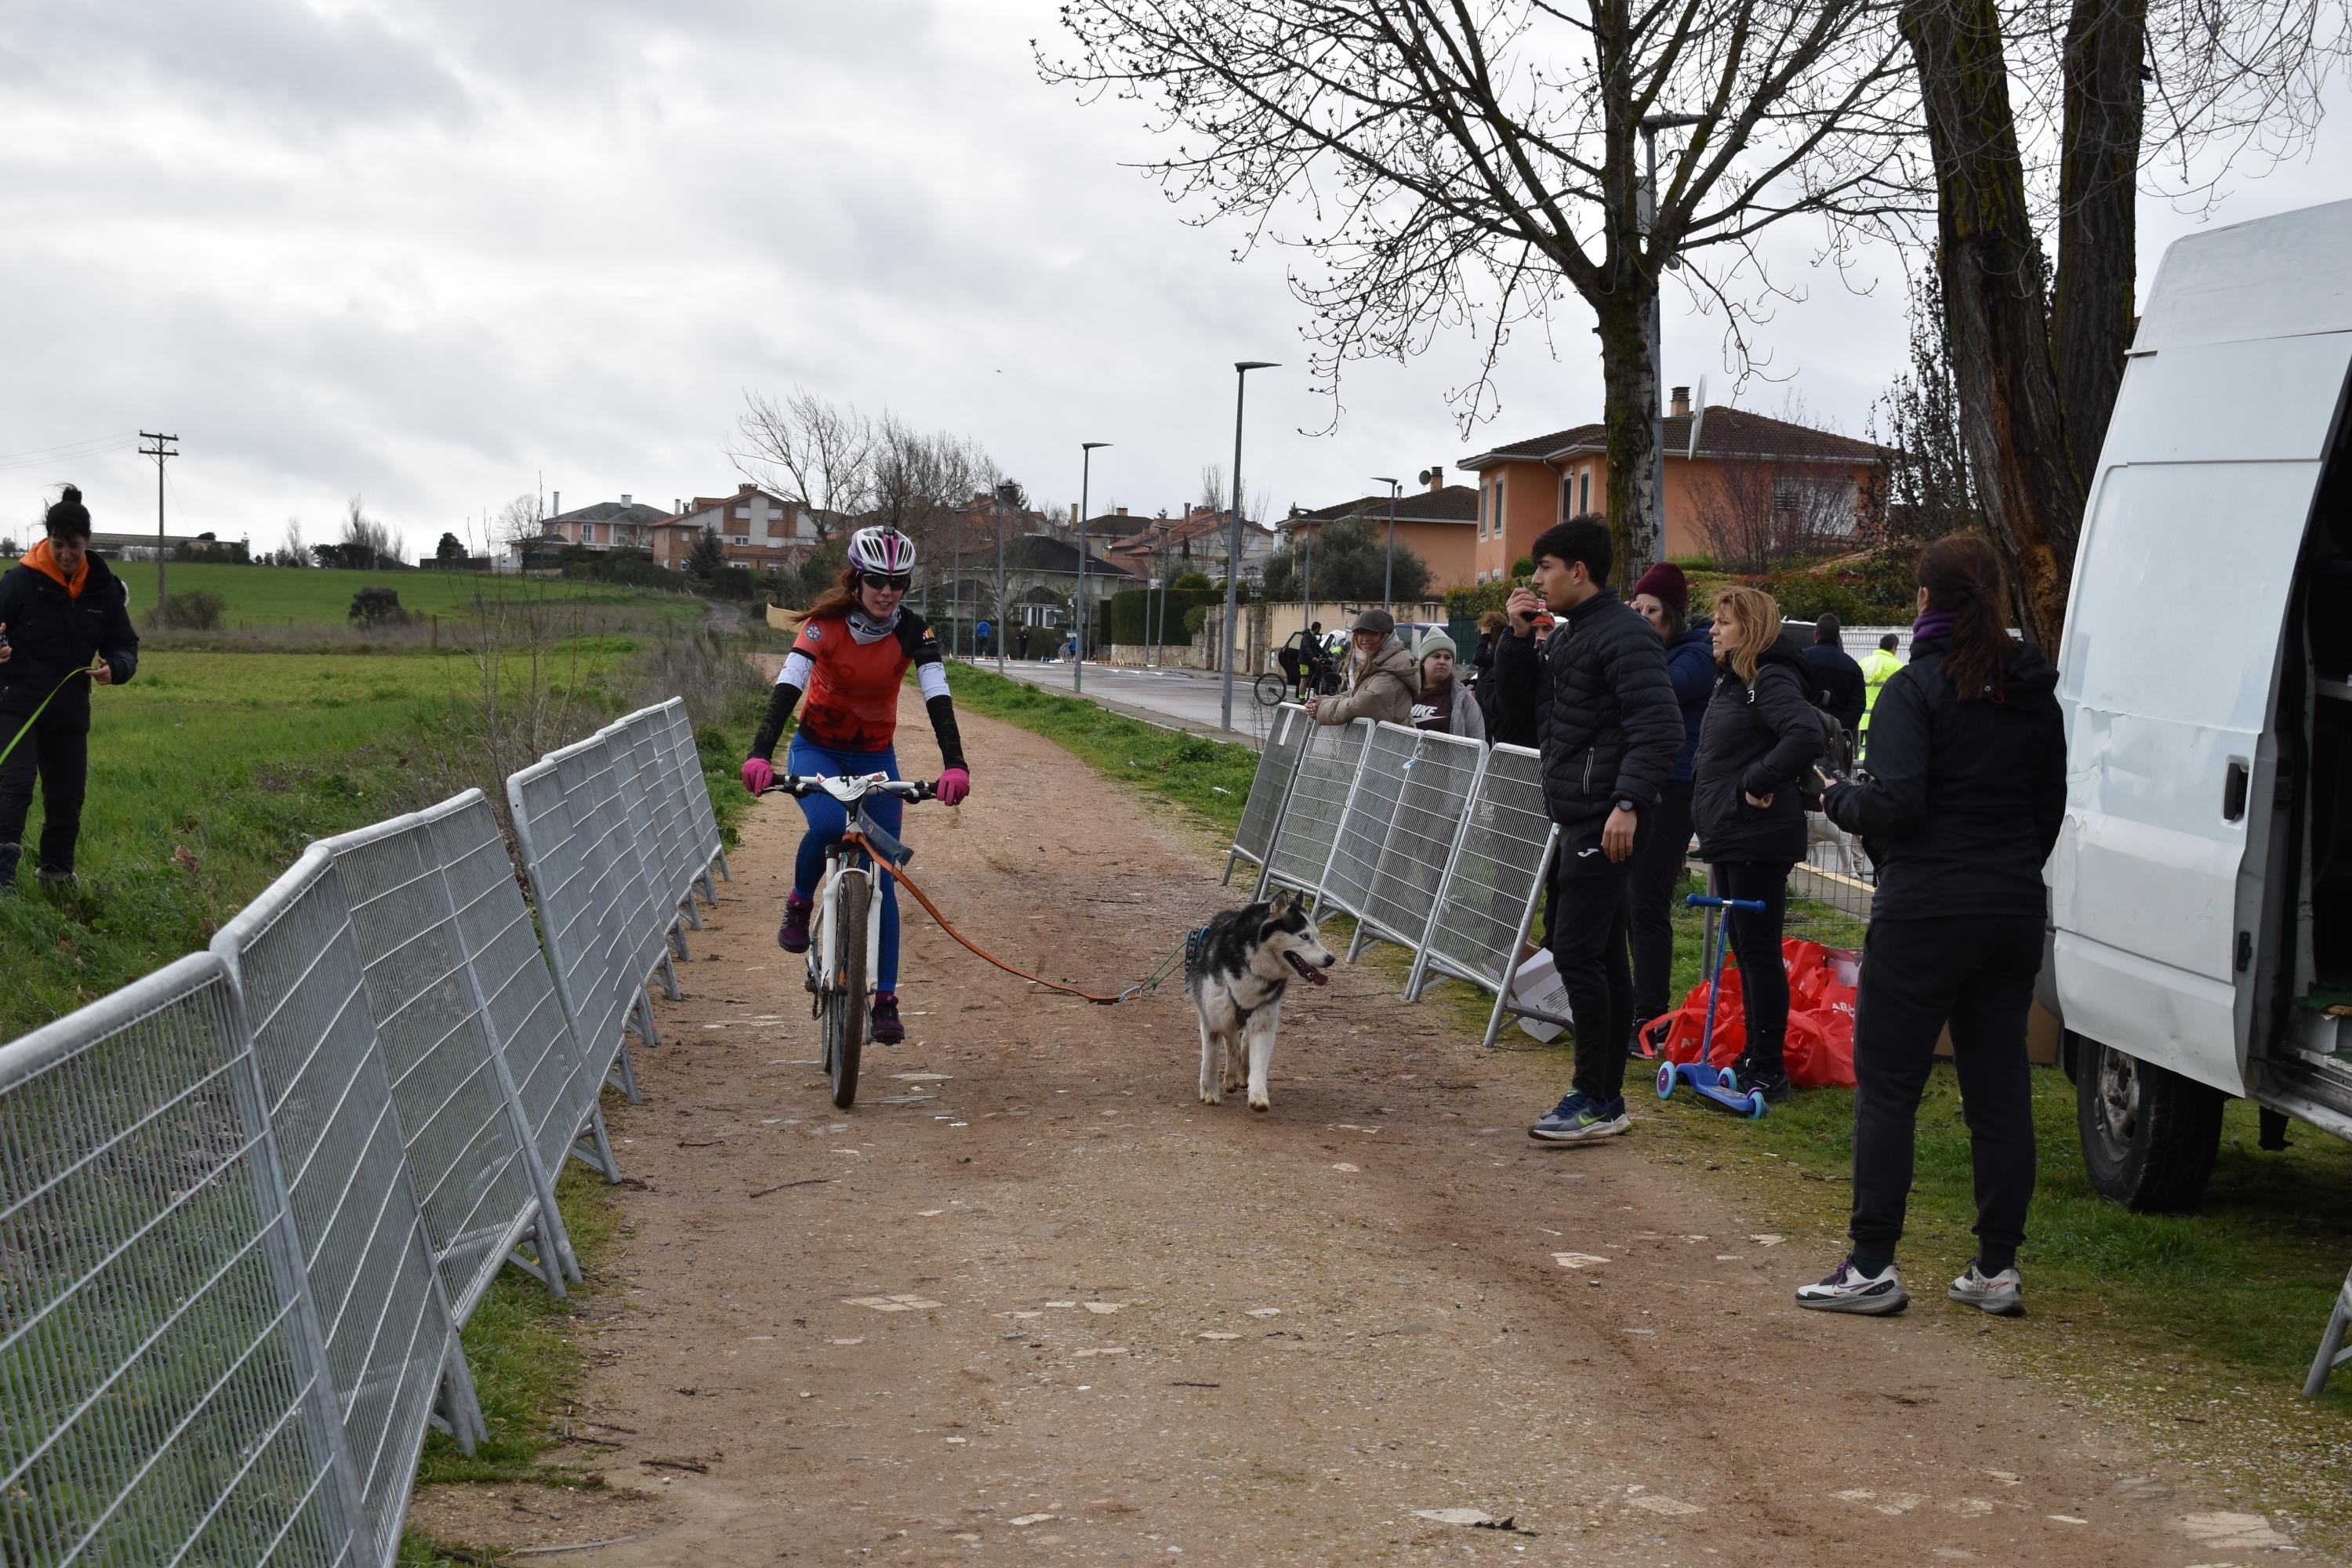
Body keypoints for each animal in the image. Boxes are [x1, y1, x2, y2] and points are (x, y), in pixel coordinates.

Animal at [1185, 888, 1336, 1109]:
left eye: (1316, 936)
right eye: (1304, 936)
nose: (1330, 959)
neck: (1252, 967)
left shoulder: (1263, 1020)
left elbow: (1259, 1059)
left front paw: (1258, 1095)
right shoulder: (1212, 1017)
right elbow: (1210, 1059)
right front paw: (1210, 1091)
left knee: (1242, 1043)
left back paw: (1239, 1075)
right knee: (1231, 1040)